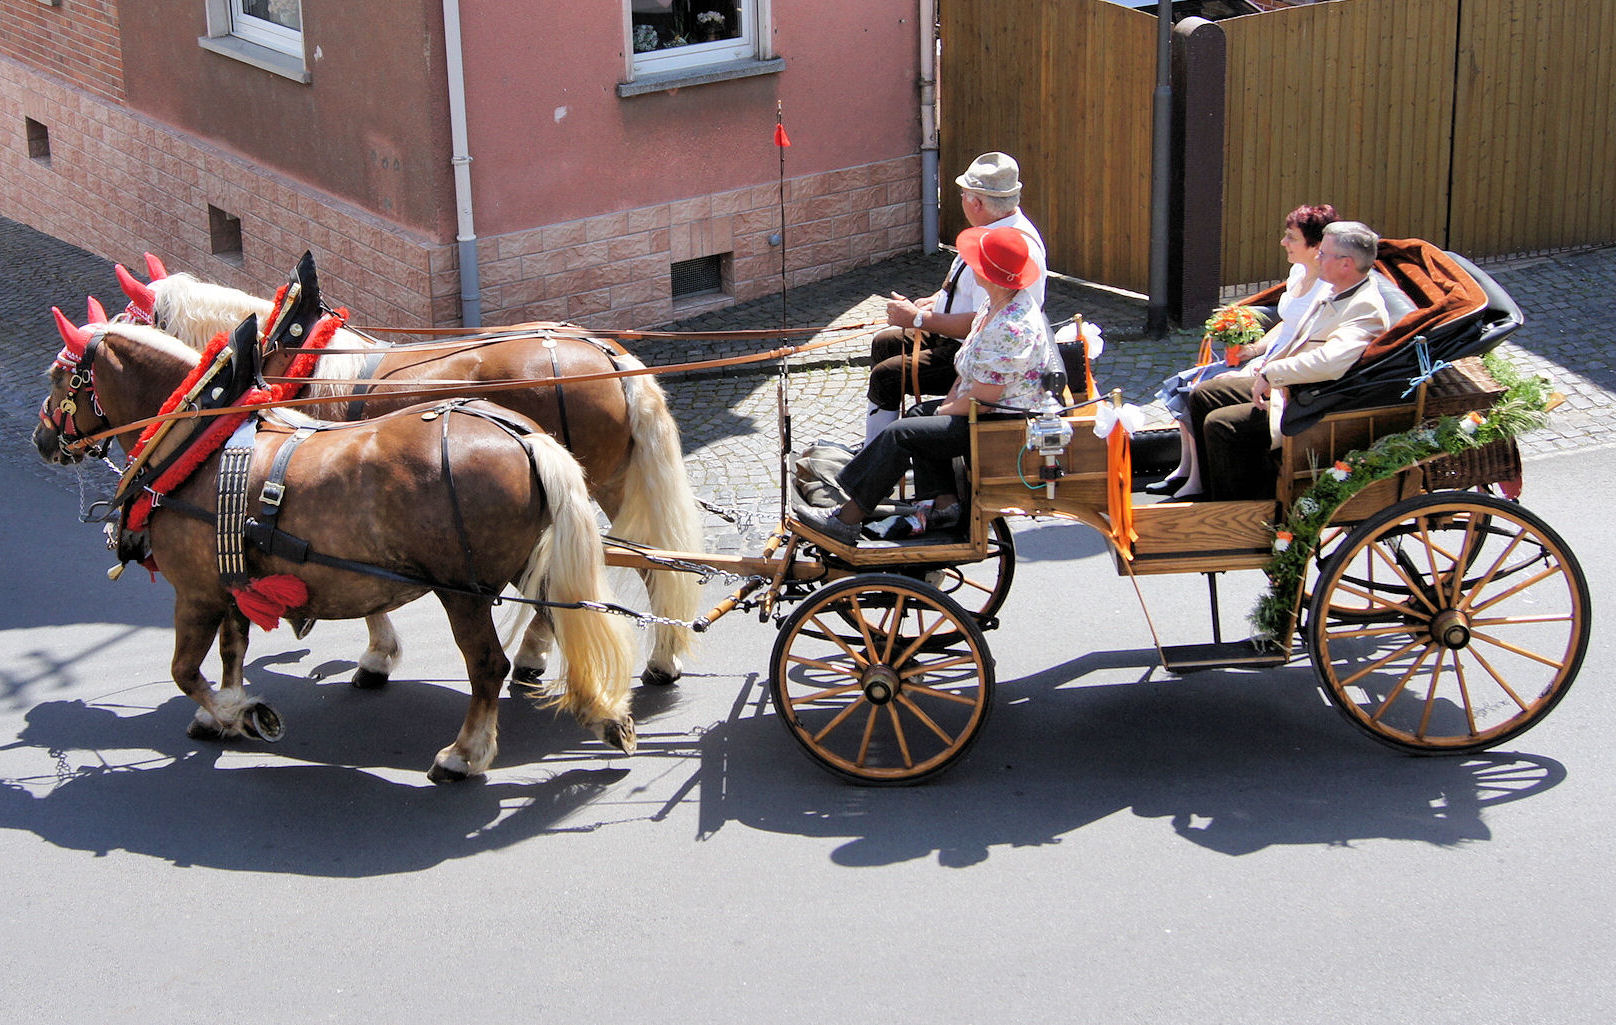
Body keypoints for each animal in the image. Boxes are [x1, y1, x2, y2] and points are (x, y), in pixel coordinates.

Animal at [31, 315, 636, 779]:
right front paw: (225, 709)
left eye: (61, 378)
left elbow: (184, 670)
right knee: (567, 621)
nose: (41, 440)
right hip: (533, 563)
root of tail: (522, 435)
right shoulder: (231, 578)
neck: (197, 442)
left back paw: (464, 754)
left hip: (461, 590)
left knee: (488, 664)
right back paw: (606, 713)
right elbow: (231, 650)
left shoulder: (196, 591)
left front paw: (242, 713)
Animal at [122, 255, 704, 685]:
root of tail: (609, 353)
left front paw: (377, 655)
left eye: (125, 319)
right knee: (649, 559)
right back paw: (652, 656)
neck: (301, 364)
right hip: (608, 483)